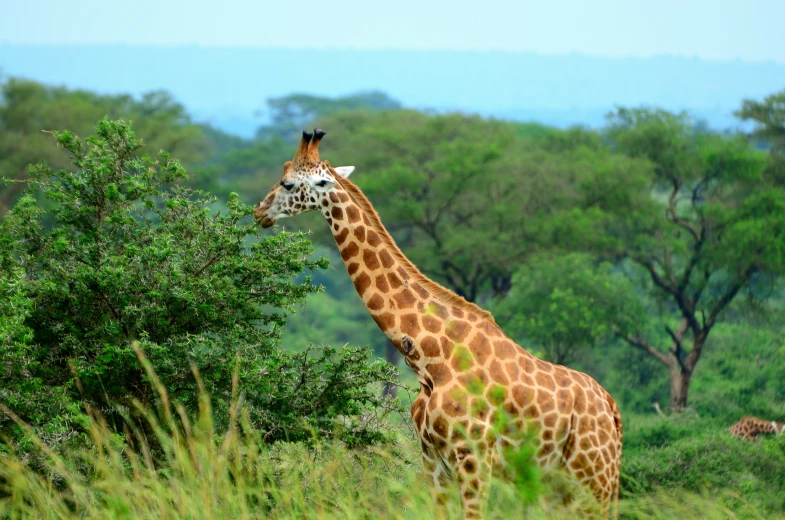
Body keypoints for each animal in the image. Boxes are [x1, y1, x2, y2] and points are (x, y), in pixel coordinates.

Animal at [254, 129, 620, 516]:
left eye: (288, 183)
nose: (259, 211)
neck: (430, 359)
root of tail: (613, 411)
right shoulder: (433, 461)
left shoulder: (474, 459)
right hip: (560, 484)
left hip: (593, 478)